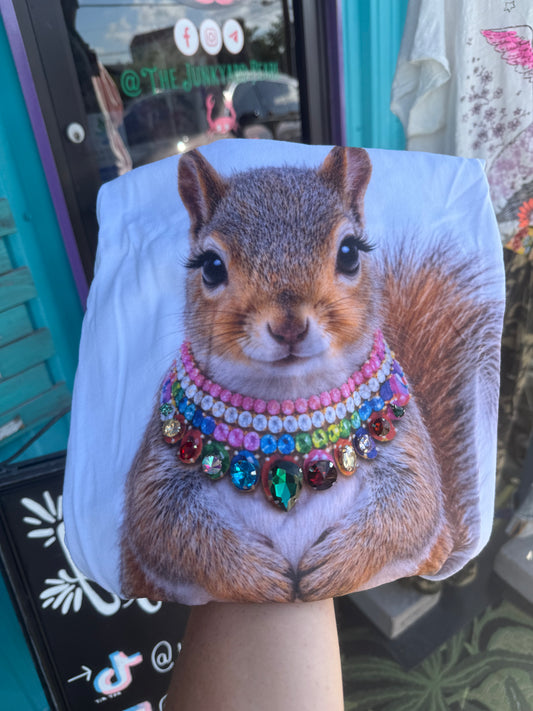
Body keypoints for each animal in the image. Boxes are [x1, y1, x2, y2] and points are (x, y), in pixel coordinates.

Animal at [120, 147, 502, 603]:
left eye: (350, 252)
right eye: (210, 266)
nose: (288, 326)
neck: (289, 400)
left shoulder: (405, 448)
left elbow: (412, 507)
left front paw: (336, 567)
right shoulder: (163, 470)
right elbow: (164, 524)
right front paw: (259, 579)